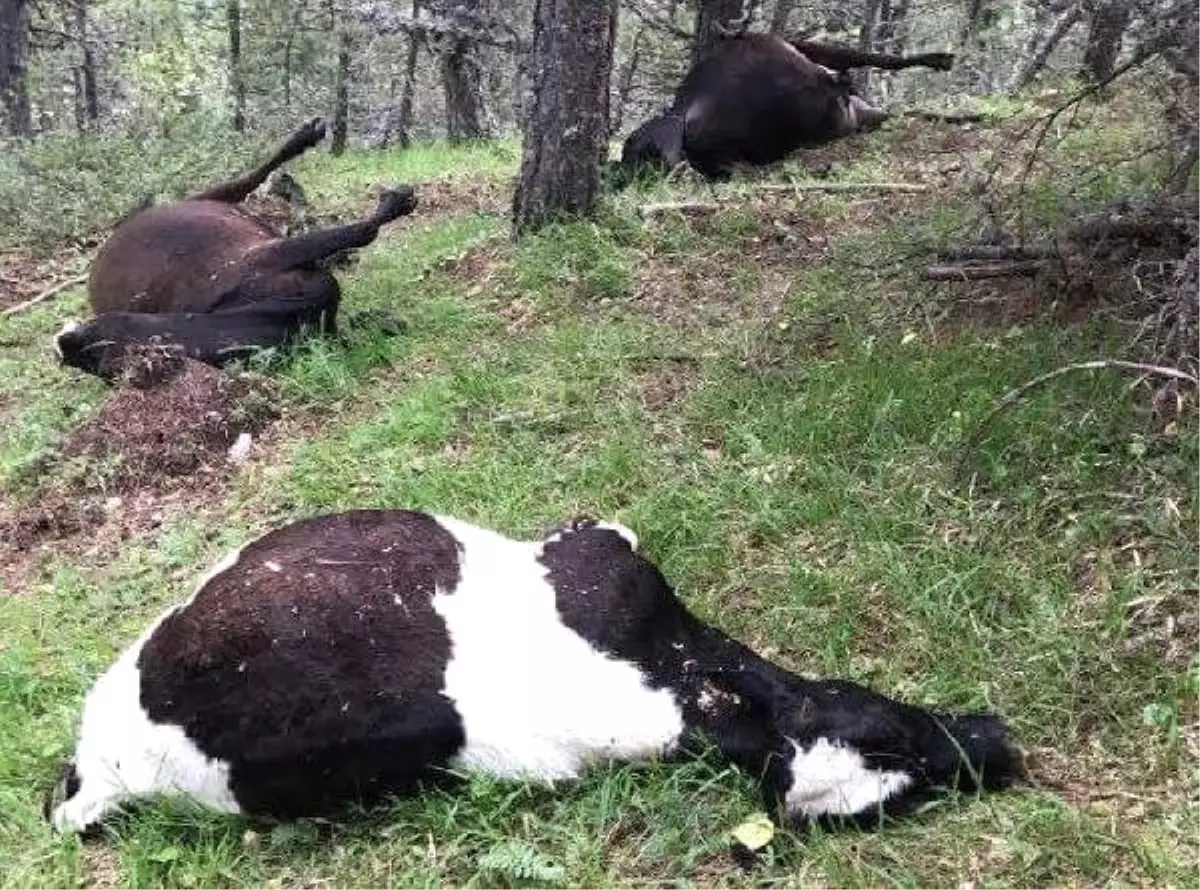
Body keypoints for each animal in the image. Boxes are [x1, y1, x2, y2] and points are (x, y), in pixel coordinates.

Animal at [58, 117, 420, 379]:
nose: (63, 345)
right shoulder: (270, 254)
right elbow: (364, 231)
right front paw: (395, 202)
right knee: (251, 179)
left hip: (211, 196)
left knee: (251, 177)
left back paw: (304, 136)